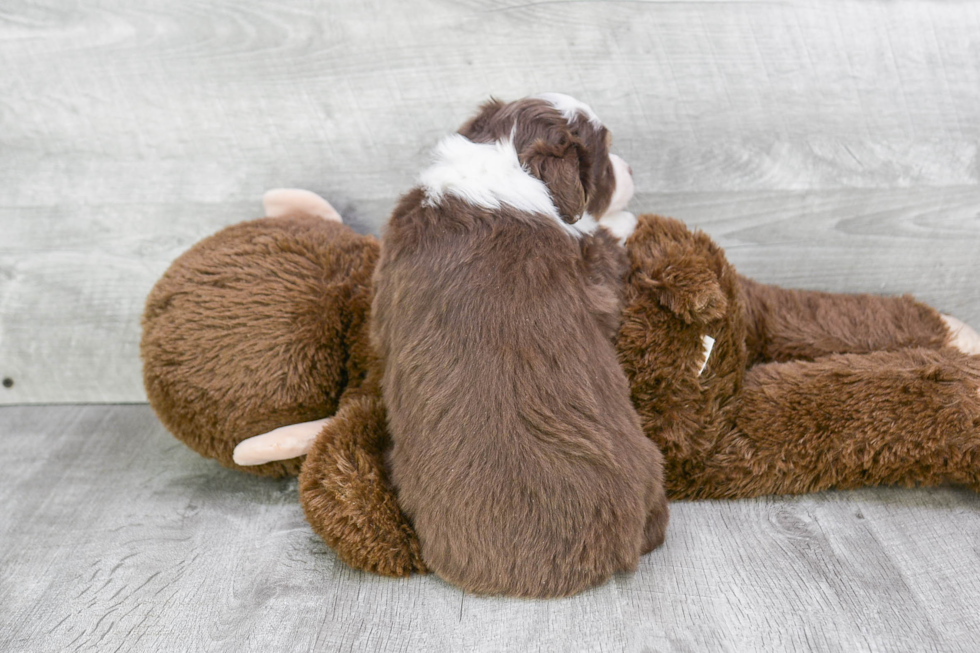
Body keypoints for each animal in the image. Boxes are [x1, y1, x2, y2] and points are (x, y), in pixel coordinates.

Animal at [372, 94, 668, 600]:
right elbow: (605, 242)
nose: (631, 169)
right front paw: (623, 218)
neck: (505, 161)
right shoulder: (595, 281)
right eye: (606, 155)